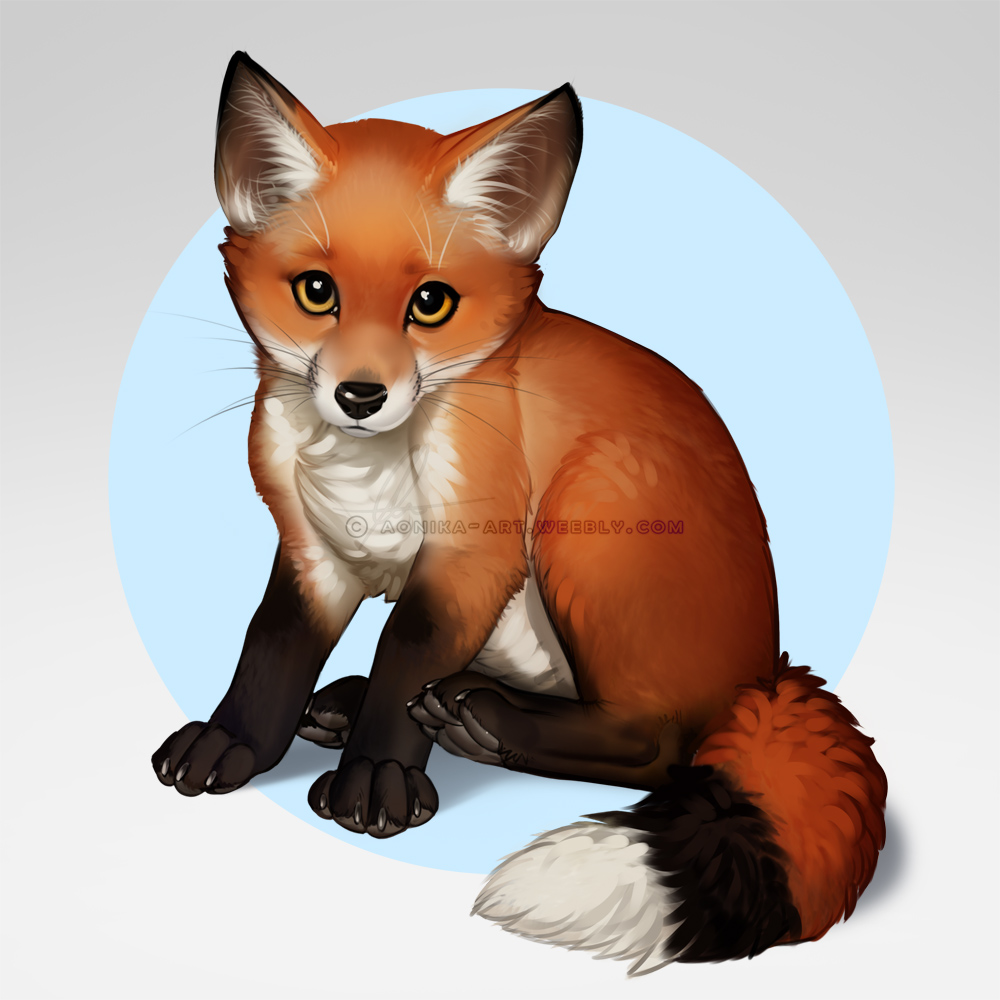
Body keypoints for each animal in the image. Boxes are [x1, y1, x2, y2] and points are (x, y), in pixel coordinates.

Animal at [152, 51, 887, 975]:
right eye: (317, 292)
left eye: (430, 304)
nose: (361, 396)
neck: (366, 473)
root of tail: (765, 670)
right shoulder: (312, 551)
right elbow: (270, 650)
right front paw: (238, 742)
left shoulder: (475, 551)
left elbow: (405, 656)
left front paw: (377, 776)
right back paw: (384, 703)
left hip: (583, 515)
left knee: (660, 745)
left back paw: (486, 725)